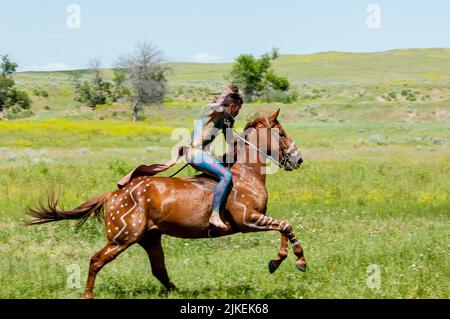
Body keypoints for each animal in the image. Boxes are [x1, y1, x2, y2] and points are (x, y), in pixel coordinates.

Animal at [26, 110, 308, 300]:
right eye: (282, 134)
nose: (299, 160)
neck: (246, 173)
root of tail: (113, 194)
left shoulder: (255, 219)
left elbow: (284, 228)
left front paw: (280, 261)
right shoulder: (248, 219)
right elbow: (286, 226)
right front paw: (296, 261)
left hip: (149, 238)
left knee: (159, 270)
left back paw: (179, 292)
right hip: (122, 238)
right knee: (96, 260)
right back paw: (88, 295)